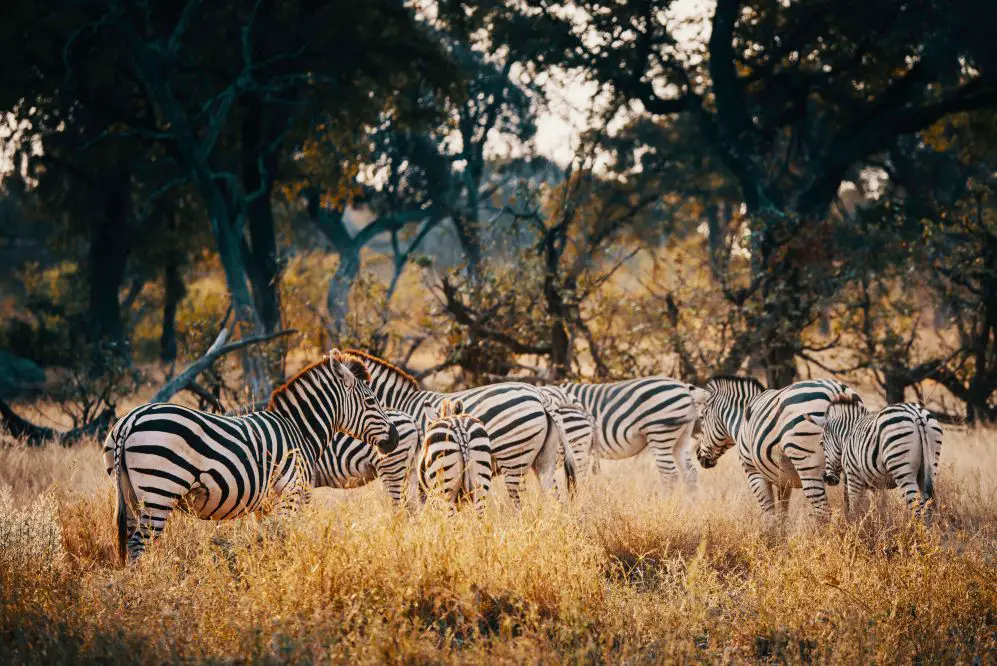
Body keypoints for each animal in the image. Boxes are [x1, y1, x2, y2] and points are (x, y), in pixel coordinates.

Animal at [101, 348, 396, 560]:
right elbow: (282, 538)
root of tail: (129, 420)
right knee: (139, 544)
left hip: (129, 493)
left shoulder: (266, 504)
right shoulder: (290, 494)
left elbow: (266, 540)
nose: (393, 438)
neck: (300, 430)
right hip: (159, 491)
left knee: (130, 541)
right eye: (371, 401)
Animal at [342, 348, 560, 504]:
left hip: (514, 456)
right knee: (554, 499)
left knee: (519, 502)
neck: (400, 402)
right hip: (543, 459)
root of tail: (539, 396)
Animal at [556, 378, 704, 488]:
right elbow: (571, 480)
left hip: (660, 435)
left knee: (669, 475)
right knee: (690, 473)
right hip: (681, 439)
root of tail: (686, 389)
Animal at [692, 374, 864, 520]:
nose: (698, 455)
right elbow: (782, 515)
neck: (742, 421)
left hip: (807, 464)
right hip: (854, 465)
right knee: (857, 508)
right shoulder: (782, 479)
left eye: (702, 417)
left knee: (823, 512)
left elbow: (770, 515)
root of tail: (835, 388)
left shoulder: (753, 472)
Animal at [804, 400, 944, 520]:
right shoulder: (876, 484)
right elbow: (878, 508)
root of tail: (916, 413)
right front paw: (880, 527)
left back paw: (916, 533)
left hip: (903, 470)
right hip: (929, 467)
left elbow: (855, 508)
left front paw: (857, 529)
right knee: (928, 506)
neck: (847, 437)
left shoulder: (854, 477)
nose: (828, 479)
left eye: (821, 444)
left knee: (917, 508)